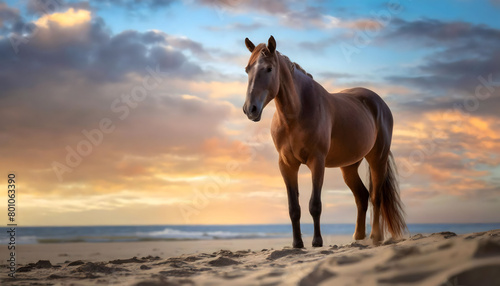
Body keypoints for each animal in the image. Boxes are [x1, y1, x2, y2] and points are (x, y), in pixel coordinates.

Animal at [242, 34, 406, 247]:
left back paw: (376, 237)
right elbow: (293, 208)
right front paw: (297, 244)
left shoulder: (317, 162)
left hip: (377, 159)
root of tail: (379, 103)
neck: (297, 113)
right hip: (349, 166)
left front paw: (317, 242)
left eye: (269, 68)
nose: (250, 109)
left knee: (375, 197)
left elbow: (315, 205)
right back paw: (358, 237)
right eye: (247, 69)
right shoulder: (287, 165)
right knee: (362, 196)